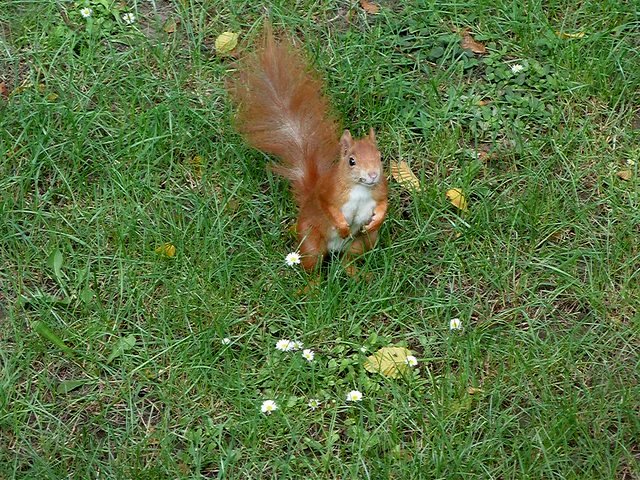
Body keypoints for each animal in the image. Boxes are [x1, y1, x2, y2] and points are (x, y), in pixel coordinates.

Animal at [228, 23, 387, 273]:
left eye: (380, 158)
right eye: (351, 161)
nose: (372, 175)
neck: (361, 189)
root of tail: (335, 249)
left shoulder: (380, 191)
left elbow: (383, 205)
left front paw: (375, 221)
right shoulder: (328, 192)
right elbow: (328, 207)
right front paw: (342, 226)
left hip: (361, 243)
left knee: (349, 261)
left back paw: (359, 276)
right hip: (311, 240)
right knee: (312, 264)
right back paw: (314, 281)